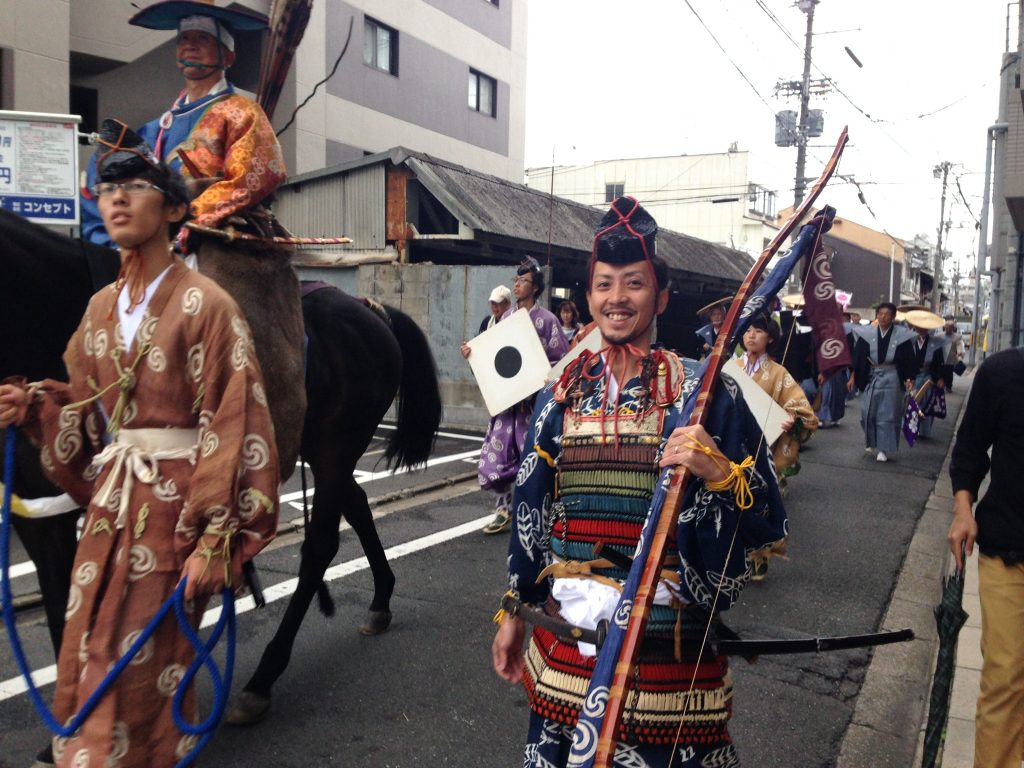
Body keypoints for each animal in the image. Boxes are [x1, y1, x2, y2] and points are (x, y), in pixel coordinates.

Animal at [0, 208, 442, 720]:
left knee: (320, 546)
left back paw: (263, 677)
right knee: (357, 505)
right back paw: (381, 600)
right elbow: (66, 605)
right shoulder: (40, 511)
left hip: (337, 444)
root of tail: (372, 310)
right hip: (322, 446)